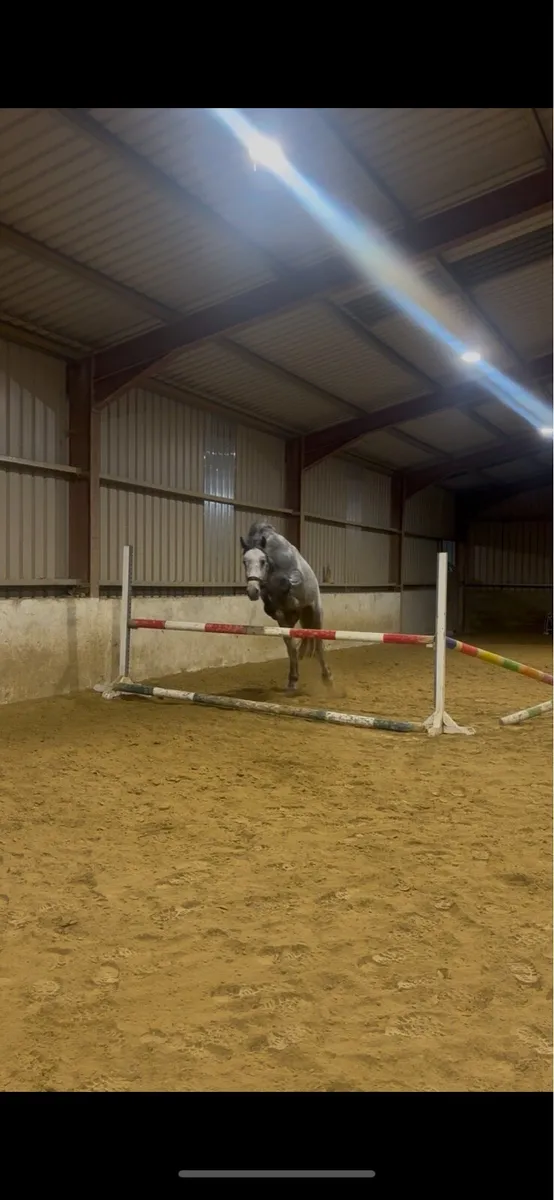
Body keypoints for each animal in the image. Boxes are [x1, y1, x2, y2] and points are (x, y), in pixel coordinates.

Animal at [240, 521, 333, 693]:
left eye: (262, 561)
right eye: (244, 562)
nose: (252, 591)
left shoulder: (294, 578)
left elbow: (287, 583)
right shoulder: (278, 609)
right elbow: (271, 603)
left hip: (315, 612)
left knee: (318, 644)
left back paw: (327, 677)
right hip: (292, 621)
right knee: (293, 644)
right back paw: (293, 678)